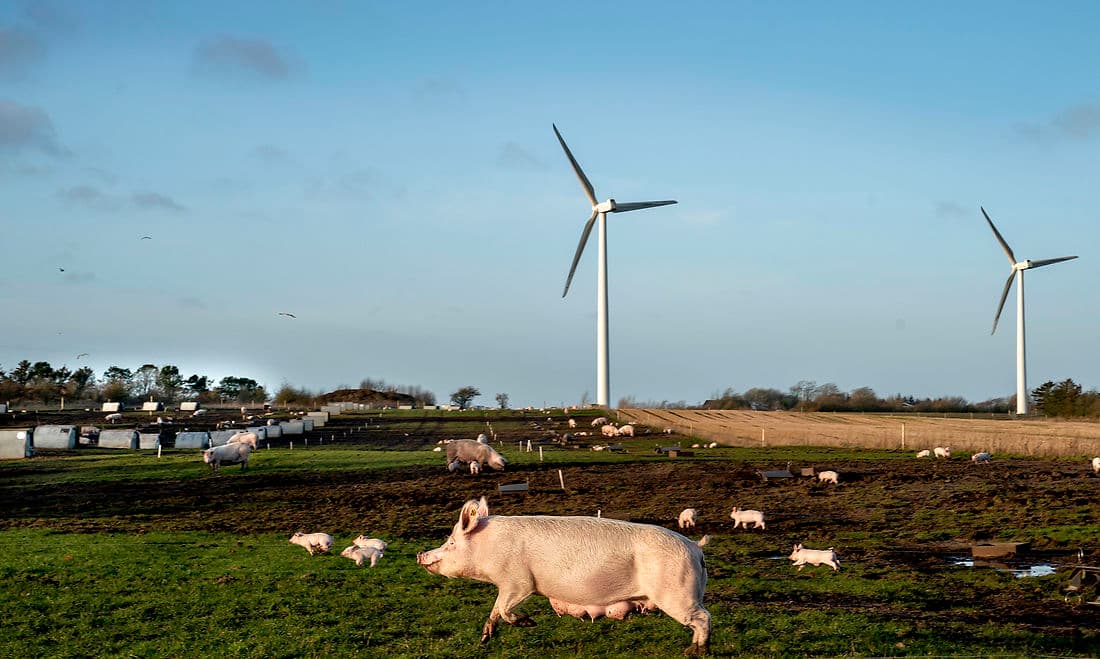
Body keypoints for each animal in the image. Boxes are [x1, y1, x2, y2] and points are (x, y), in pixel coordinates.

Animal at [413, 497, 712, 655]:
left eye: (451, 542)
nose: (420, 554)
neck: (488, 548)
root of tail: (695, 547)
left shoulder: (519, 582)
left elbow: (506, 609)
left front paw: (529, 622)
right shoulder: (505, 586)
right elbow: (495, 610)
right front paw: (484, 641)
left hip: (676, 594)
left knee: (703, 618)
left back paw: (695, 652)